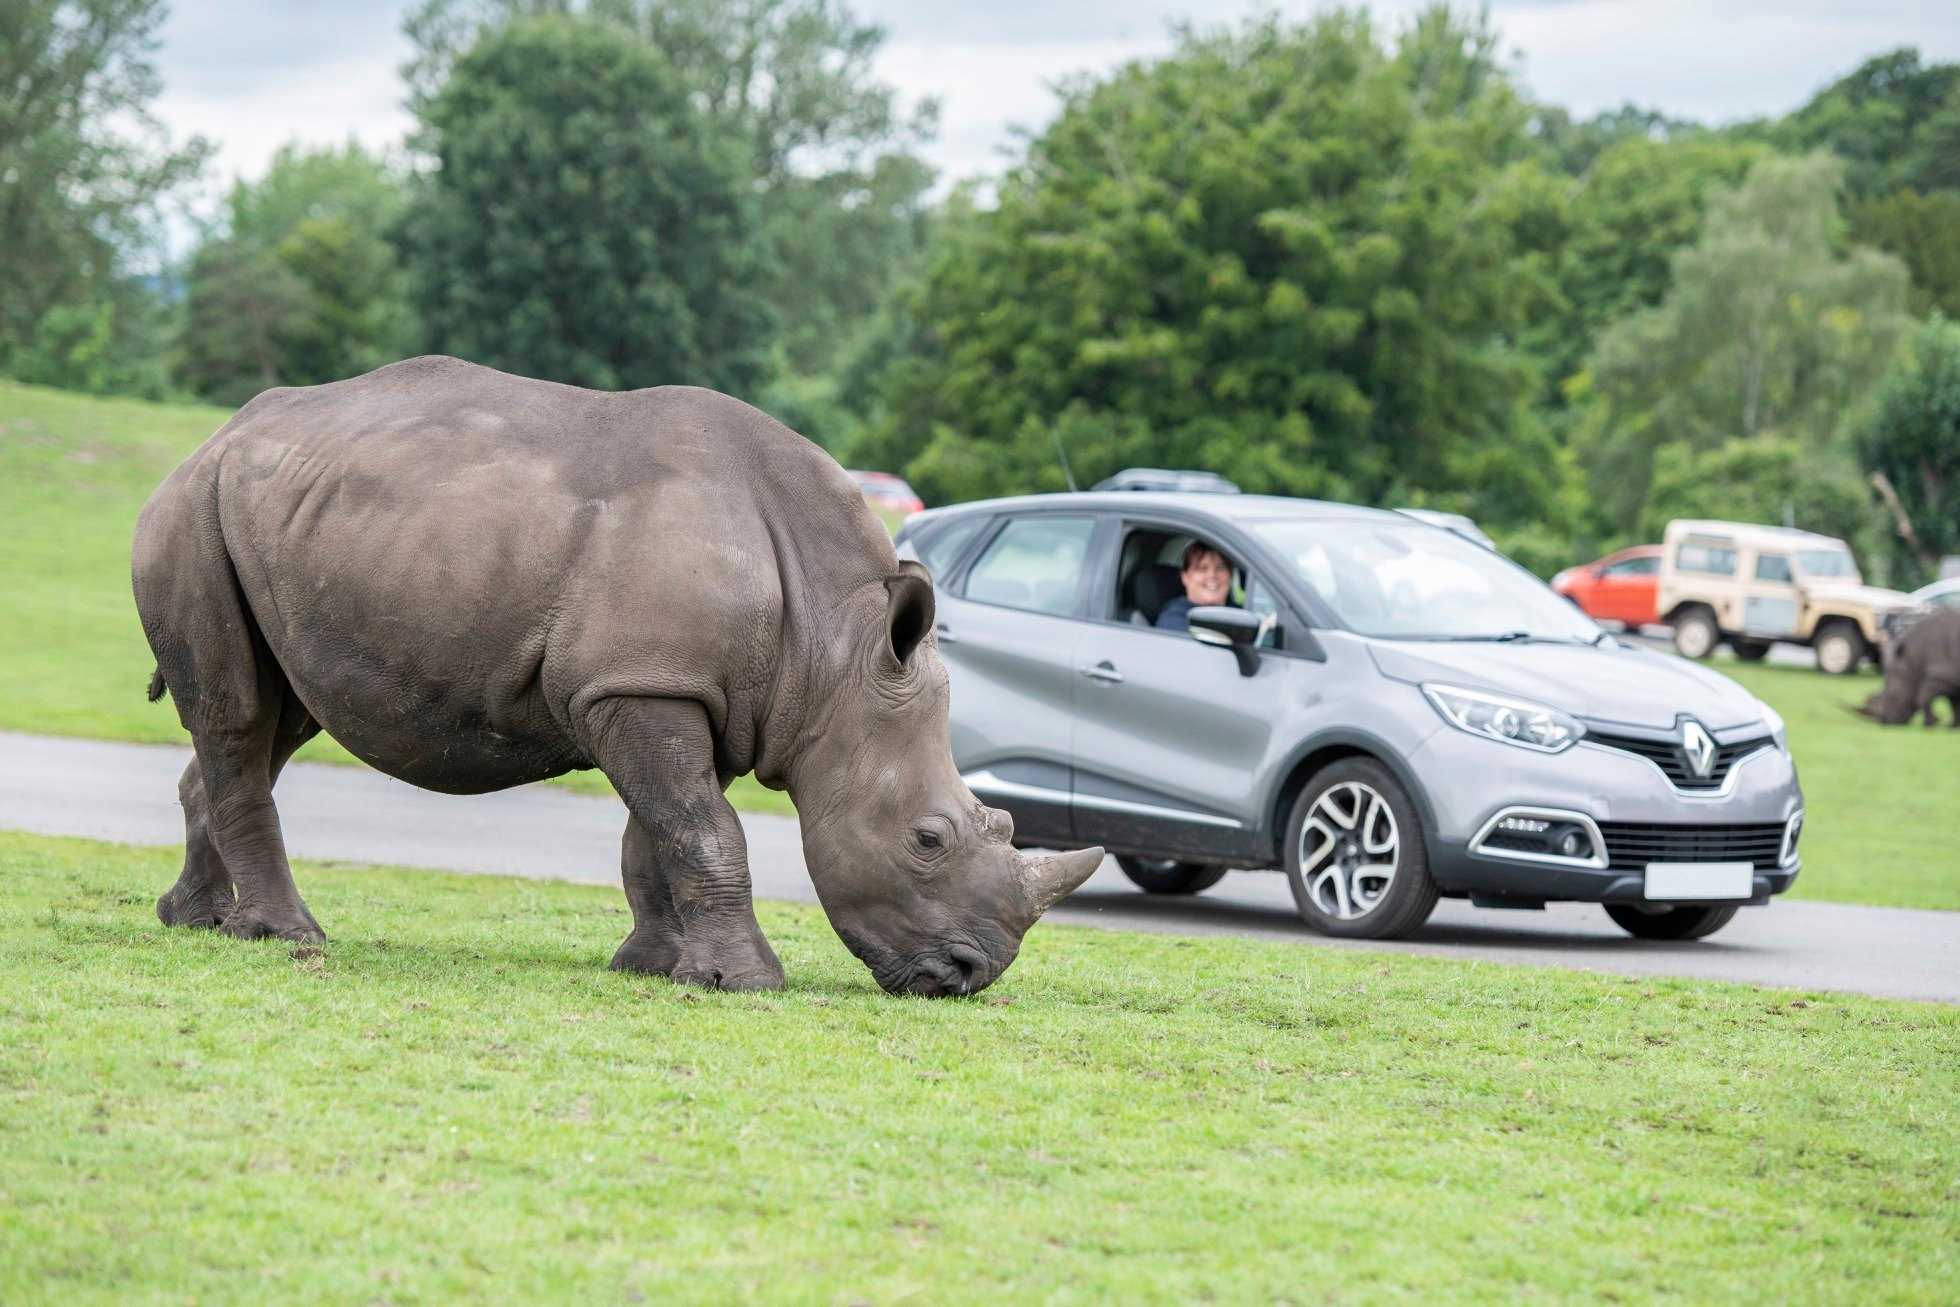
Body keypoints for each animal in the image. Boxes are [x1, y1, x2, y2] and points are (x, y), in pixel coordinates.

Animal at [134, 354, 1105, 991]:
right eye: (928, 839)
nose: (968, 973)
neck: (836, 651)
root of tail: (218, 435)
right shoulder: (643, 682)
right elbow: (705, 827)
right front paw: (747, 982)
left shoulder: (682, 687)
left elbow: (663, 829)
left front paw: (654, 968)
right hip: (189, 511)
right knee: (238, 712)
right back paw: (285, 934)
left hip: (281, 520)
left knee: (279, 715)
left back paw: (198, 920)